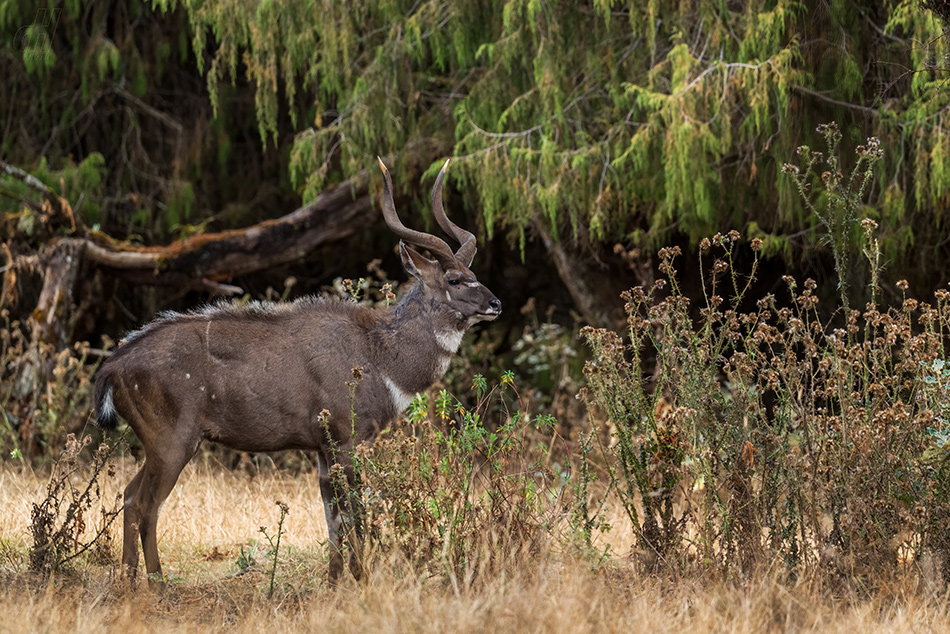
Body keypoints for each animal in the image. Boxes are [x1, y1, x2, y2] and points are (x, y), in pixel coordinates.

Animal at [93, 158, 502, 584]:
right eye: (455, 279)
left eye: (473, 274)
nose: (496, 303)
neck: (380, 356)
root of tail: (113, 368)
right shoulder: (346, 439)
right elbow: (355, 514)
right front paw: (360, 577)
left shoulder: (322, 447)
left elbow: (333, 518)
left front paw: (335, 579)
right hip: (173, 440)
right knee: (145, 504)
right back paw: (156, 584)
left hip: (158, 444)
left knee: (128, 497)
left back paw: (129, 581)